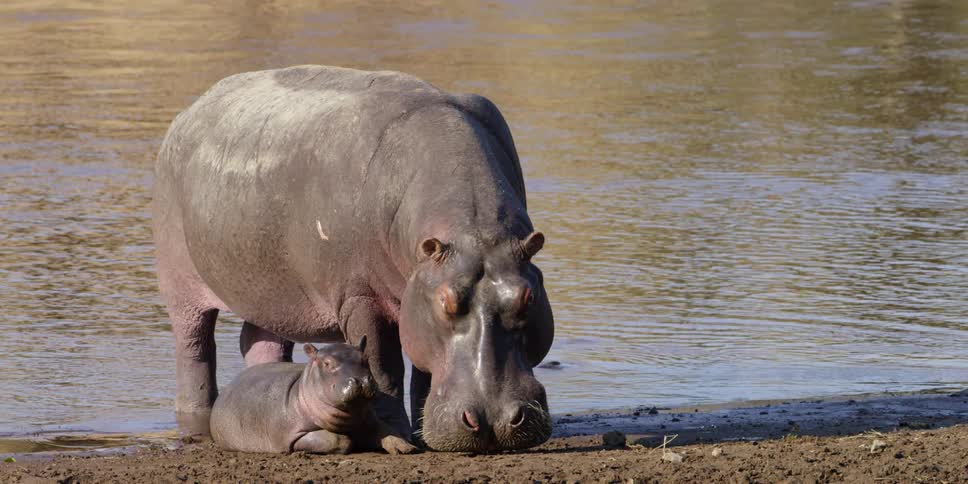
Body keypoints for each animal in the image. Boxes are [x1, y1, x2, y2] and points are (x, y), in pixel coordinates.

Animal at [210, 337, 417, 454]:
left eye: (365, 359)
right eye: (327, 363)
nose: (360, 380)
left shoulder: (369, 420)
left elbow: (388, 430)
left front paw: (406, 447)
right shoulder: (294, 434)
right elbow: (339, 439)